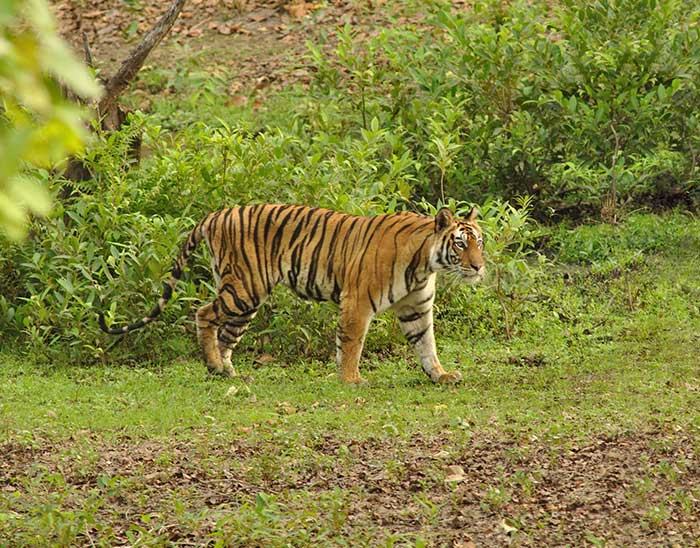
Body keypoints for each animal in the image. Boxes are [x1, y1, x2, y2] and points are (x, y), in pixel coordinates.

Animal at [98, 203, 484, 384]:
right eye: (460, 244)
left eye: (479, 242)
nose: (479, 267)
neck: (425, 264)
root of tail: (217, 213)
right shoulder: (357, 301)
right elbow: (352, 343)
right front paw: (351, 379)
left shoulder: (416, 308)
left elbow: (426, 345)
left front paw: (440, 375)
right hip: (244, 288)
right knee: (204, 313)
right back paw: (213, 365)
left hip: (246, 300)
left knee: (226, 334)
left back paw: (228, 372)